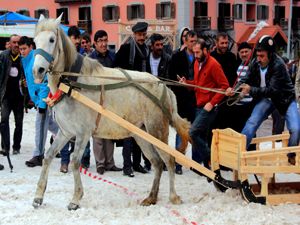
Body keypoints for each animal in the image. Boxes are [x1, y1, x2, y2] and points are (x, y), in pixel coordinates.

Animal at [32, 14, 190, 210]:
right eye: (35, 41)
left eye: (52, 39)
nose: (37, 71)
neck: (73, 84)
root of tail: (165, 88)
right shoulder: (66, 132)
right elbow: (48, 157)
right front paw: (38, 196)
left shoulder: (83, 133)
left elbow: (75, 162)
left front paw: (75, 199)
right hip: (141, 134)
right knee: (157, 163)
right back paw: (151, 197)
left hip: (157, 130)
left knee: (169, 160)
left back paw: (173, 196)